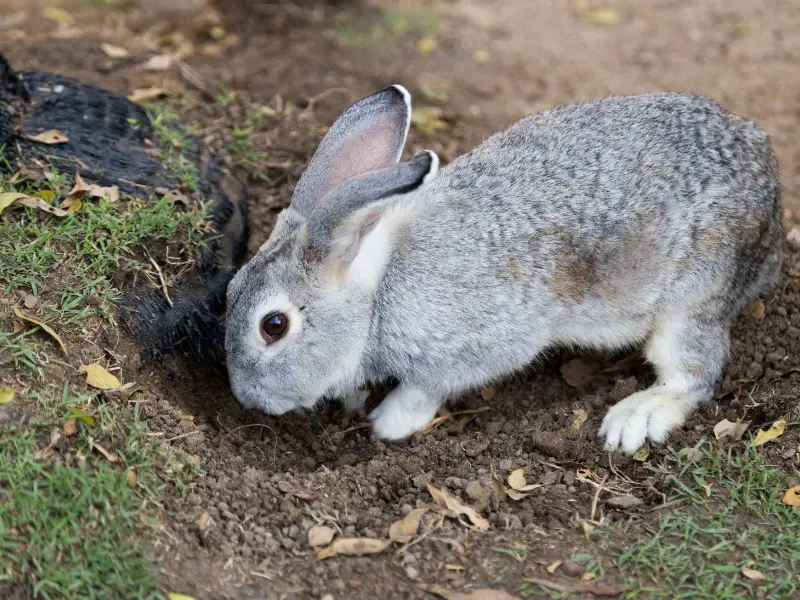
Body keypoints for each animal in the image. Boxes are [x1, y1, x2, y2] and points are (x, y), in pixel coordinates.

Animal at [223, 85, 780, 454]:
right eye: (229, 290)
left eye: (274, 326)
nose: (246, 397)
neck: (377, 295)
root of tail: (770, 186)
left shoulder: (481, 346)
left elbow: (427, 388)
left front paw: (388, 421)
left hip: (693, 299)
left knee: (694, 373)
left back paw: (635, 418)